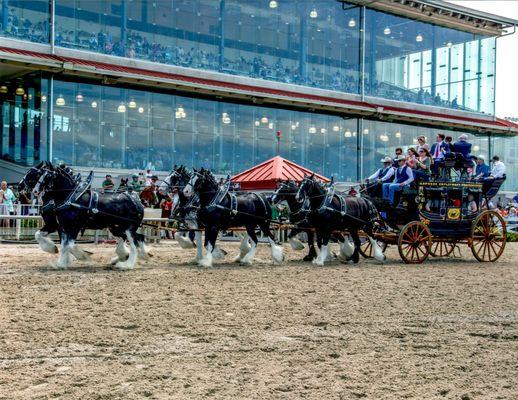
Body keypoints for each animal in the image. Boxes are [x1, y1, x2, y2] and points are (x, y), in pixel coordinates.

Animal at [18, 162, 148, 268]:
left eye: (36, 174)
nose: (19, 186)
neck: (70, 197)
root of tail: (136, 200)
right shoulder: (60, 226)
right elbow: (50, 239)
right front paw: (60, 259)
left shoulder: (72, 227)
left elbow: (68, 245)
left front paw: (81, 256)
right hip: (116, 227)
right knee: (137, 238)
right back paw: (130, 256)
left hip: (129, 228)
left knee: (134, 243)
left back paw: (127, 265)